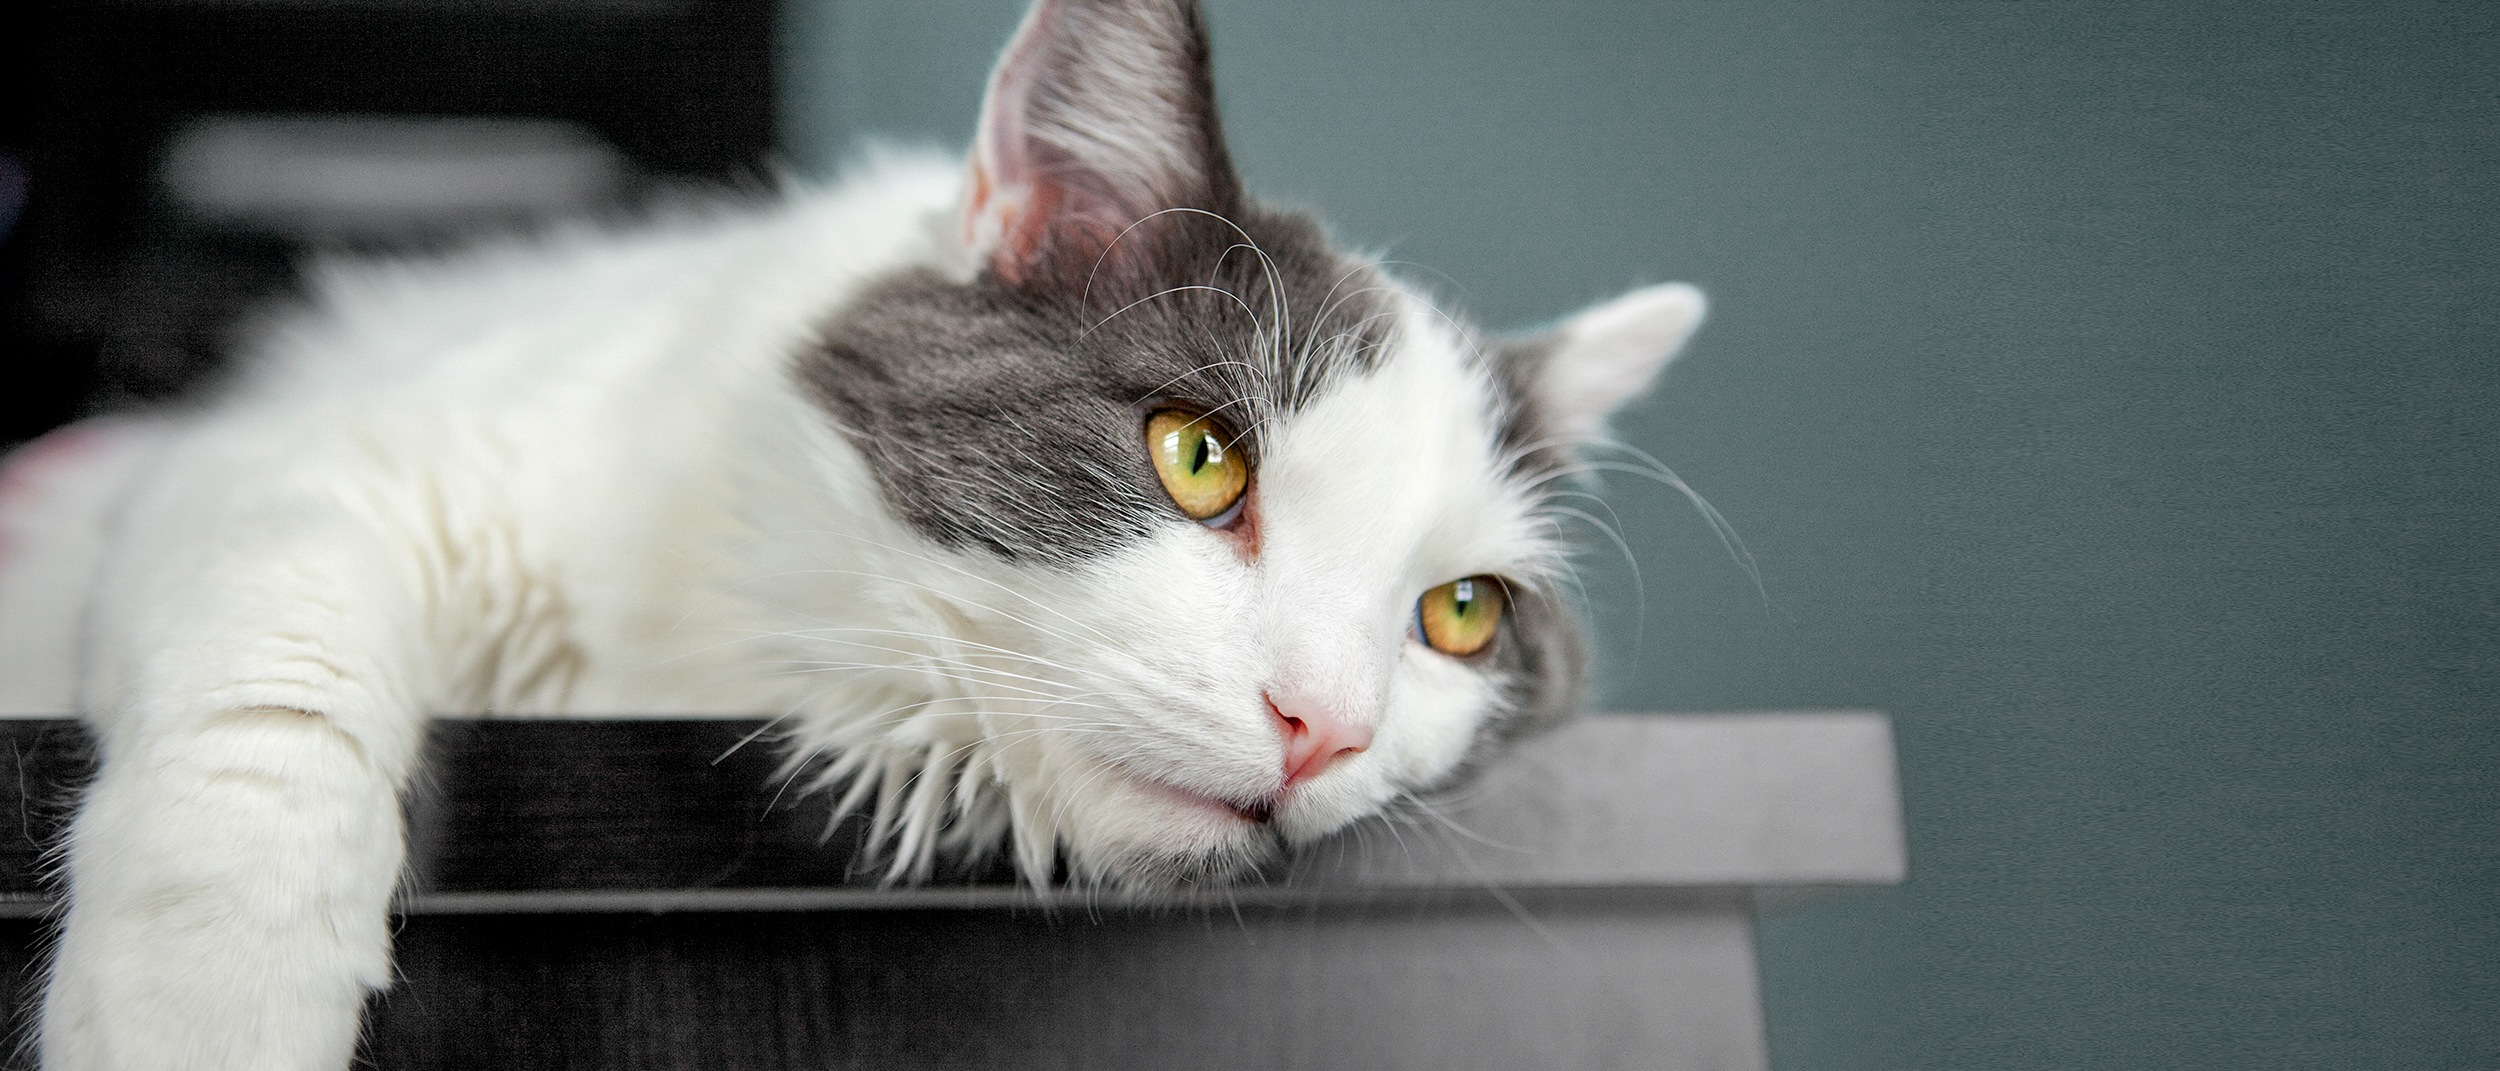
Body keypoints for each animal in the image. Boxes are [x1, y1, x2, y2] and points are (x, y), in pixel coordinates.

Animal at [0, 0, 1700, 1065]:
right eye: (1200, 457)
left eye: (1462, 614)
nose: (1323, 729)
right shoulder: (306, 462)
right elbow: (270, 701)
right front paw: (200, 1012)